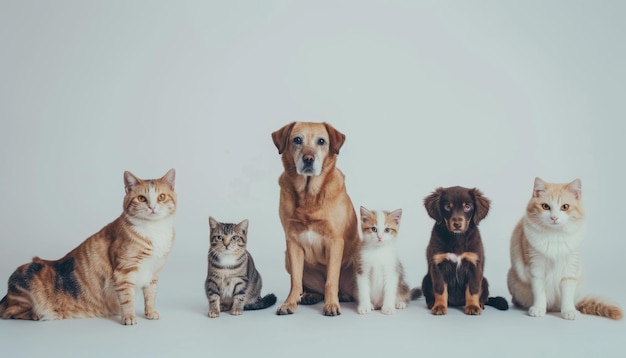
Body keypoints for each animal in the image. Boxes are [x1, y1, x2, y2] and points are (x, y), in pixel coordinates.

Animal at [0, 169, 176, 324]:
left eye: (161, 197)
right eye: (141, 198)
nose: (152, 207)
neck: (155, 229)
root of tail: (6, 294)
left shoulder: (153, 272)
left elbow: (150, 295)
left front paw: (150, 312)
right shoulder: (124, 272)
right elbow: (127, 299)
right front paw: (129, 318)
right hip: (31, 273)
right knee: (9, 312)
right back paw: (43, 314)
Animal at [270, 122, 358, 316]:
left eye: (321, 141)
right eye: (297, 140)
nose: (308, 159)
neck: (308, 195)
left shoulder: (335, 241)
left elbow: (331, 280)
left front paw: (331, 305)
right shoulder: (293, 242)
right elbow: (295, 281)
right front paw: (289, 303)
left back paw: (343, 296)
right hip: (287, 258)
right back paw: (309, 296)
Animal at [420, 186, 508, 314]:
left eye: (467, 206)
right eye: (447, 207)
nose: (457, 224)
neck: (457, 238)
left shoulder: (474, 265)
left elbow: (473, 289)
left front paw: (473, 306)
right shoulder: (437, 265)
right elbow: (440, 289)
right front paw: (439, 306)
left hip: (484, 281)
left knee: (484, 297)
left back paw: (480, 304)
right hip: (426, 279)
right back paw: (432, 303)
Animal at [508, 178, 620, 320]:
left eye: (565, 207)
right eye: (545, 206)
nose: (554, 218)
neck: (555, 236)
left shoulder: (570, 268)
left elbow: (567, 294)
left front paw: (569, 311)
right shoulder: (536, 267)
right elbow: (539, 292)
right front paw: (539, 308)